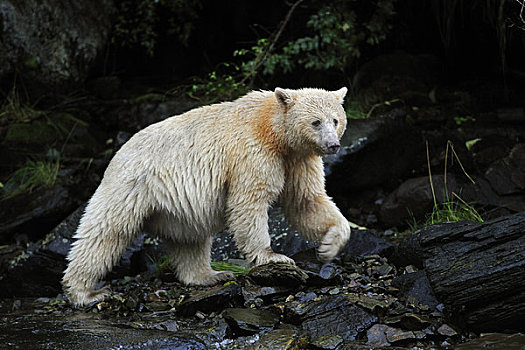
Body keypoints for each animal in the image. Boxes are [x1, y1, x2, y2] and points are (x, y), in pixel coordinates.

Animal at [62, 88, 348, 306]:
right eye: (315, 121)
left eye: (335, 120)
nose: (333, 145)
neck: (273, 129)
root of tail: (117, 153)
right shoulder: (252, 153)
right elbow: (249, 202)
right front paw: (273, 257)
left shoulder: (299, 160)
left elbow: (306, 201)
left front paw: (329, 245)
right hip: (132, 185)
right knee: (106, 232)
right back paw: (85, 292)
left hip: (177, 209)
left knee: (190, 238)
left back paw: (210, 275)